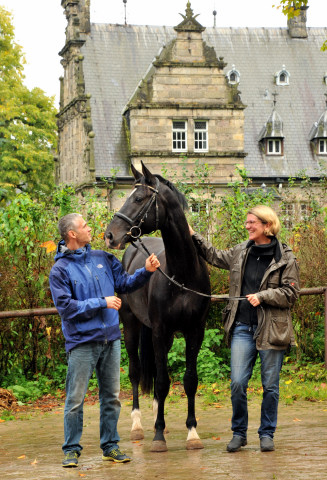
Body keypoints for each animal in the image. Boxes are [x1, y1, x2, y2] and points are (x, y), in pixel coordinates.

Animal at [106, 163, 211, 452]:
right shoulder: (160, 331)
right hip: (131, 326)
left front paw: (192, 433)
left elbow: (189, 381)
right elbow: (163, 382)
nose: (110, 235)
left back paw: (155, 415)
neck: (183, 275)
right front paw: (159, 436)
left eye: (139, 198)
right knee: (135, 372)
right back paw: (139, 424)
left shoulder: (194, 332)